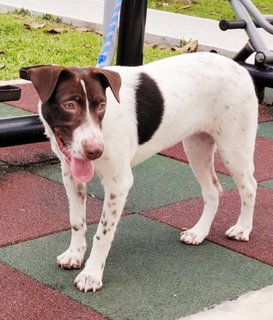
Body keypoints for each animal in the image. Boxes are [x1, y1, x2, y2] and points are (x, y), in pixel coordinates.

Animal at [28, 52, 258, 292]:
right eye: (69, 104)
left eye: (101, 105)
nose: (96, 151)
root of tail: (239, 67)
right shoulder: (71, 177)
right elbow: (76, 221)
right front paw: (75, 254)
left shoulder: (119, 183)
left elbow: (103, 233)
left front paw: (91, 275)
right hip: (196, 147)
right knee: (213, 190)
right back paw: (199, 232)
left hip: (234, 148)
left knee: (250, 187)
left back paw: (242, 228)